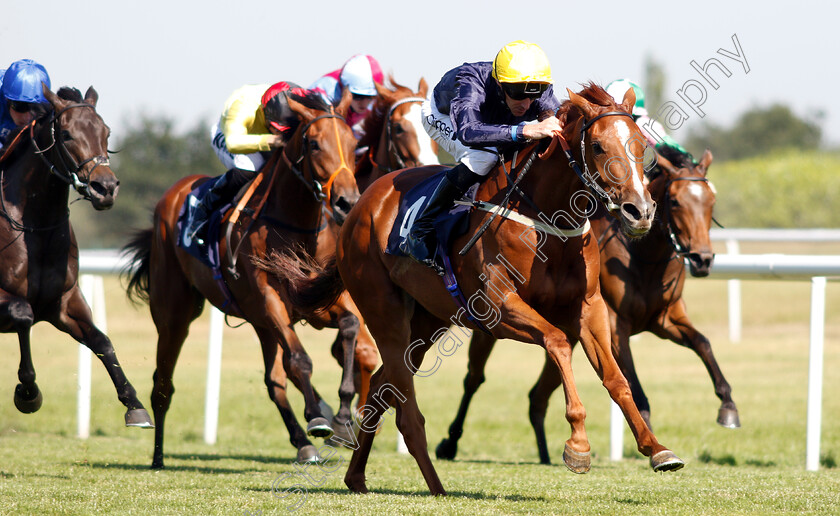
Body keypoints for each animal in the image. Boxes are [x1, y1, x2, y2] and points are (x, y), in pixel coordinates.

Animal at [0, 85, 153, 428]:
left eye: (106, 132)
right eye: (67, 134)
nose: (105, 188)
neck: (35, 224)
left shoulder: (64, 302)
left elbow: (102, 342)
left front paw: (134, 404)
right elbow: (23, 314)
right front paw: (28, 393)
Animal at [123, 89, 372, 468]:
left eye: (352, 141)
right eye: (314, 144)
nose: (347, 202)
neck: (296, 225)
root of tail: (172, 194)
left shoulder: (318, 301)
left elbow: (349, 328)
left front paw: (342, 420)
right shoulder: (271, 298)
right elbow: (300, 360)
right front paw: (318, 418)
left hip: (260, 322)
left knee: (274, 380)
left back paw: (304, 443)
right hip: (175, 314)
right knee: (163, 383)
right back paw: (157, 455)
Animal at [272, 84, 684, 496]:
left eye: (640, 144)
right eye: (597, 146)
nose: (640, 211)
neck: (546, 221)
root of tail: (361, 205)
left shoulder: (589, 307)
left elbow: (616, 378)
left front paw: (656, 449)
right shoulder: (498, 309)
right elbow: (558, 342)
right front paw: (578, 445)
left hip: (427, 321)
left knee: (380, 386)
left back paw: (356, 476)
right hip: (383, 310)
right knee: (406, 411)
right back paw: (436, 486)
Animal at [436, 148, 740, 464]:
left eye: (711, 201)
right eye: (676, 201)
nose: (702, 259)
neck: (642, 257)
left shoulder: (666, 318)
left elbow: (702, 342)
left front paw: (728, 406)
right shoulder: (616, 325)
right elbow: (635, 384)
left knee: (537, 395)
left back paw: (545, 454)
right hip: (492, 325)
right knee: (474, 379)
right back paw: (450, 443)